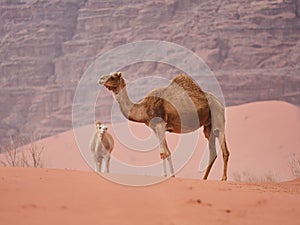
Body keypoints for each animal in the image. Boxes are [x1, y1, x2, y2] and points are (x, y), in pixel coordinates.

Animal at [98, 72, 230, 181]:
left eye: (113, 76)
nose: (100, 79)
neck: (143, 108)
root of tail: (220, 103)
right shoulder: (156, 128)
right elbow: (168, 152)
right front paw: (172, 175)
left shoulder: (160, 124)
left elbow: (162, 153)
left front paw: (164, 175)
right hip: (208, 125)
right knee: (212, 151)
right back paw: (204, 178)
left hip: (218, 118)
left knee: (225, 150)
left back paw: (223, 178)